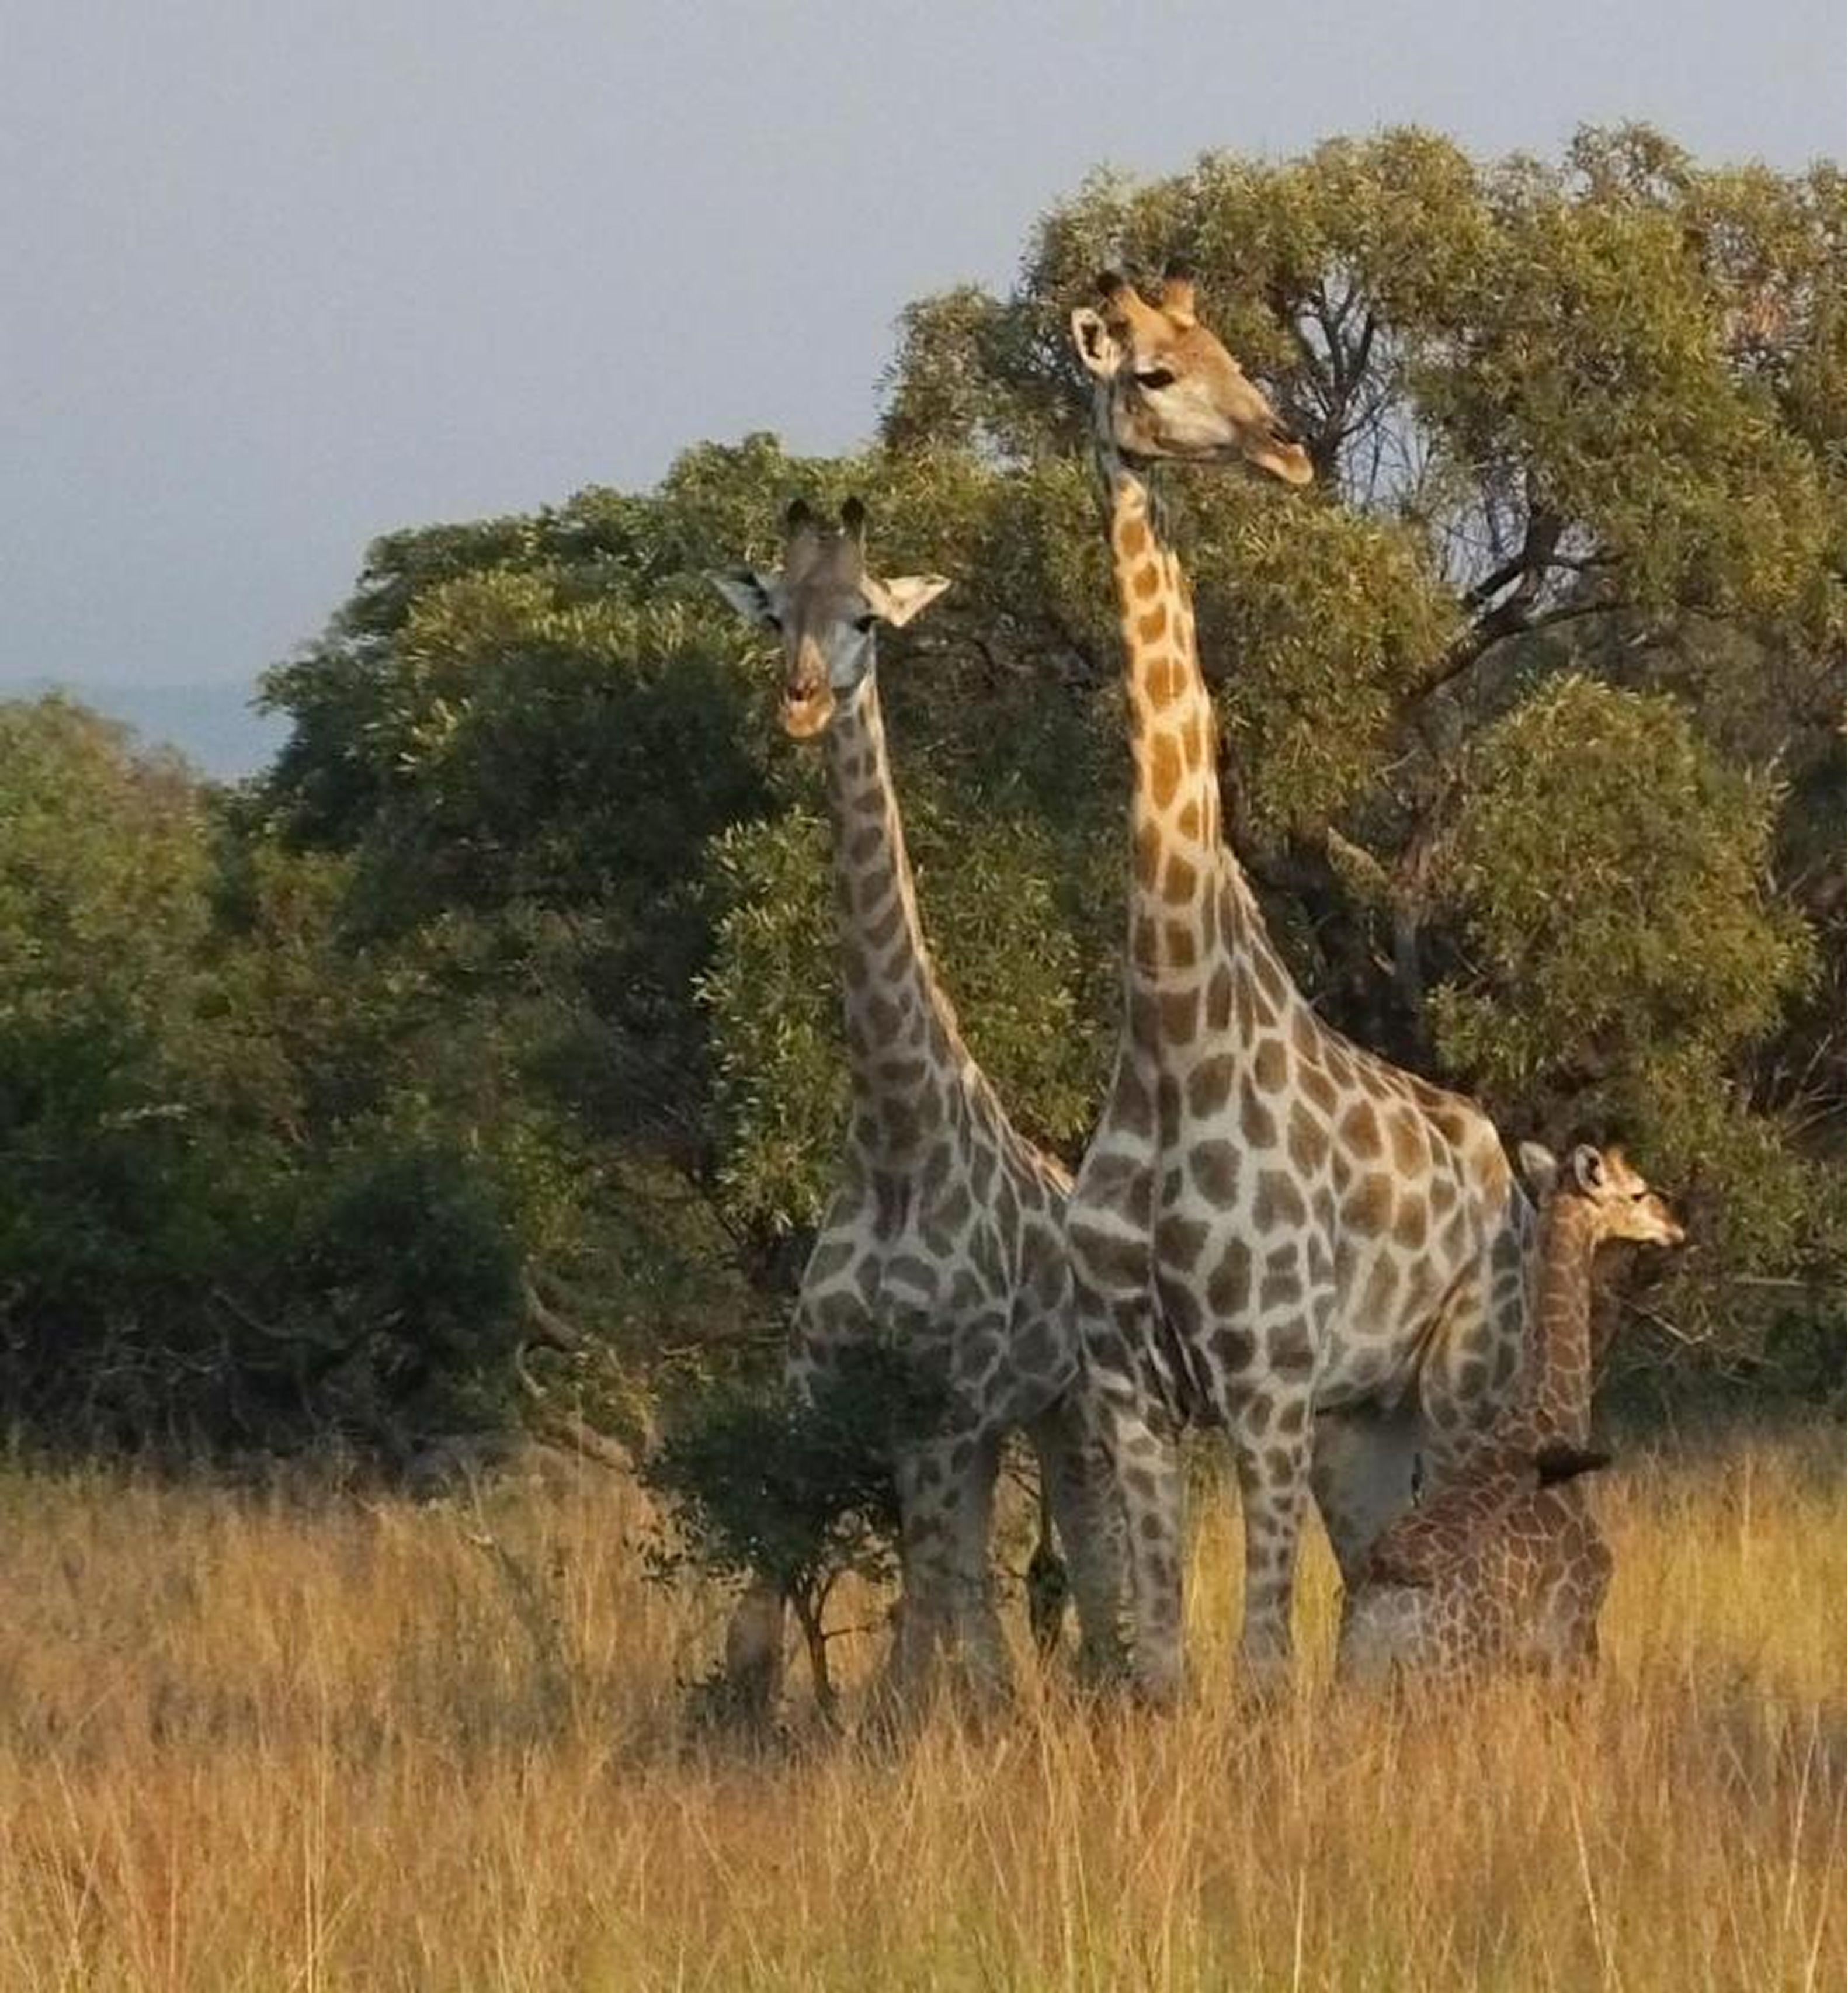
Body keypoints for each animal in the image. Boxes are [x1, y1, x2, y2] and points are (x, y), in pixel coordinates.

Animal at [710, 498, 1125, 1715]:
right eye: (774, 615)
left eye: (864, 618)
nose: (800, 699)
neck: (895, 1134)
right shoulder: (825, 1384)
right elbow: (765, 1607)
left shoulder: (950, 1398)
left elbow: (940, 1619)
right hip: (1002, 1419)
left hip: (1069, 1405)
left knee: (1077, 1559)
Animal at [1064, 267, 1535, 1699]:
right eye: (1152, 373)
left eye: (1226, 347)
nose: (1283, 445)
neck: (1170, 1021)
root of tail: (1505, 1160)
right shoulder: (1131, 1389)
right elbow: (1165, 1664)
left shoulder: (1261, 1380)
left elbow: (1259, 1666)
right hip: (1358, 1418)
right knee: (1377, 1584)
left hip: (1462, 1378)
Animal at [1339, 1142, 1684, 1681]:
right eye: (1637, 1191)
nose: (1675, 1226)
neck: (1549, 1413)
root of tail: (1385, 1619)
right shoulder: (1574, 1627)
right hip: (1456, 1675)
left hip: (1355, 1679)